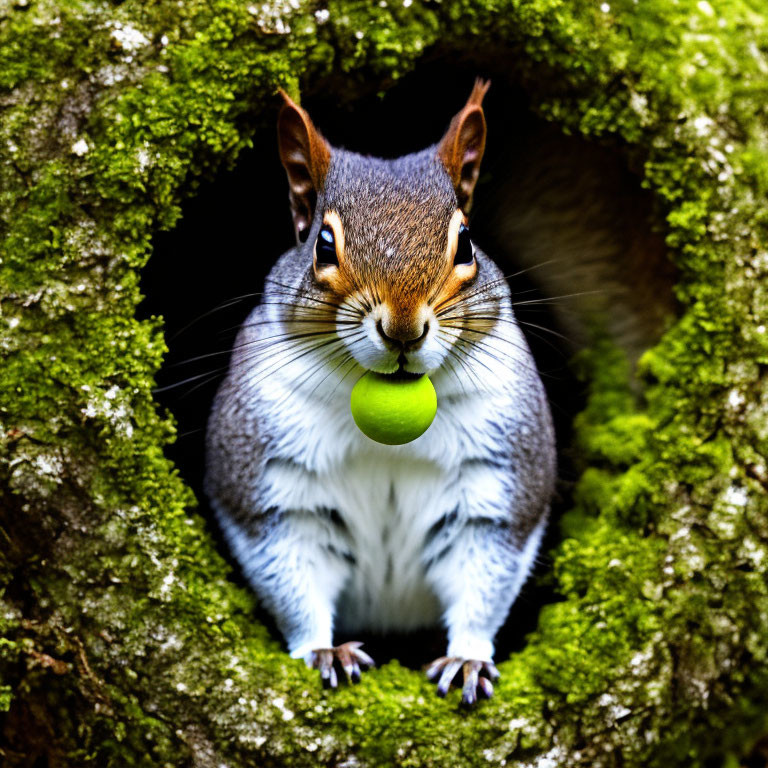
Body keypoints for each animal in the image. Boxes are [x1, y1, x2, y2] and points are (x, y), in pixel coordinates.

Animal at [201, 81, 556, 704]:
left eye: (466, 243)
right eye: (322, 244)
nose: (403, 329)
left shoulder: (501, 484)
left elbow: (485, 581)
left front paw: (466, 659)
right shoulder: (270, 489)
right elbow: (289, 574)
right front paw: (322, 652)